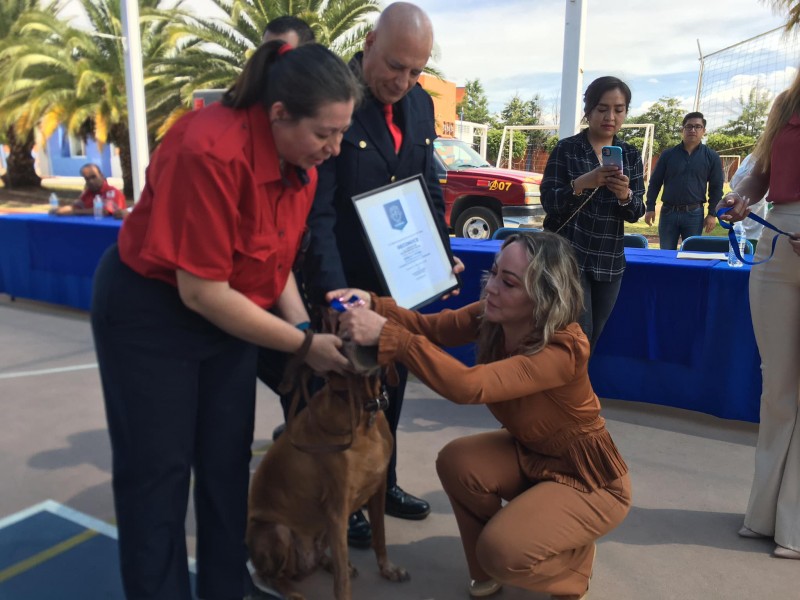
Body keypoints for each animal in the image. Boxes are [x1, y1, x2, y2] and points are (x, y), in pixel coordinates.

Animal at [247, 340, 410, 596]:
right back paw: (294, 592)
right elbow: (342, 582)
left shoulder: (378, 488)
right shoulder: (337, 509)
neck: (364, 411)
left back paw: (327, 563)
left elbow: (380, 536)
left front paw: (388, 569)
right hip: (276, 531)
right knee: (270, 576)